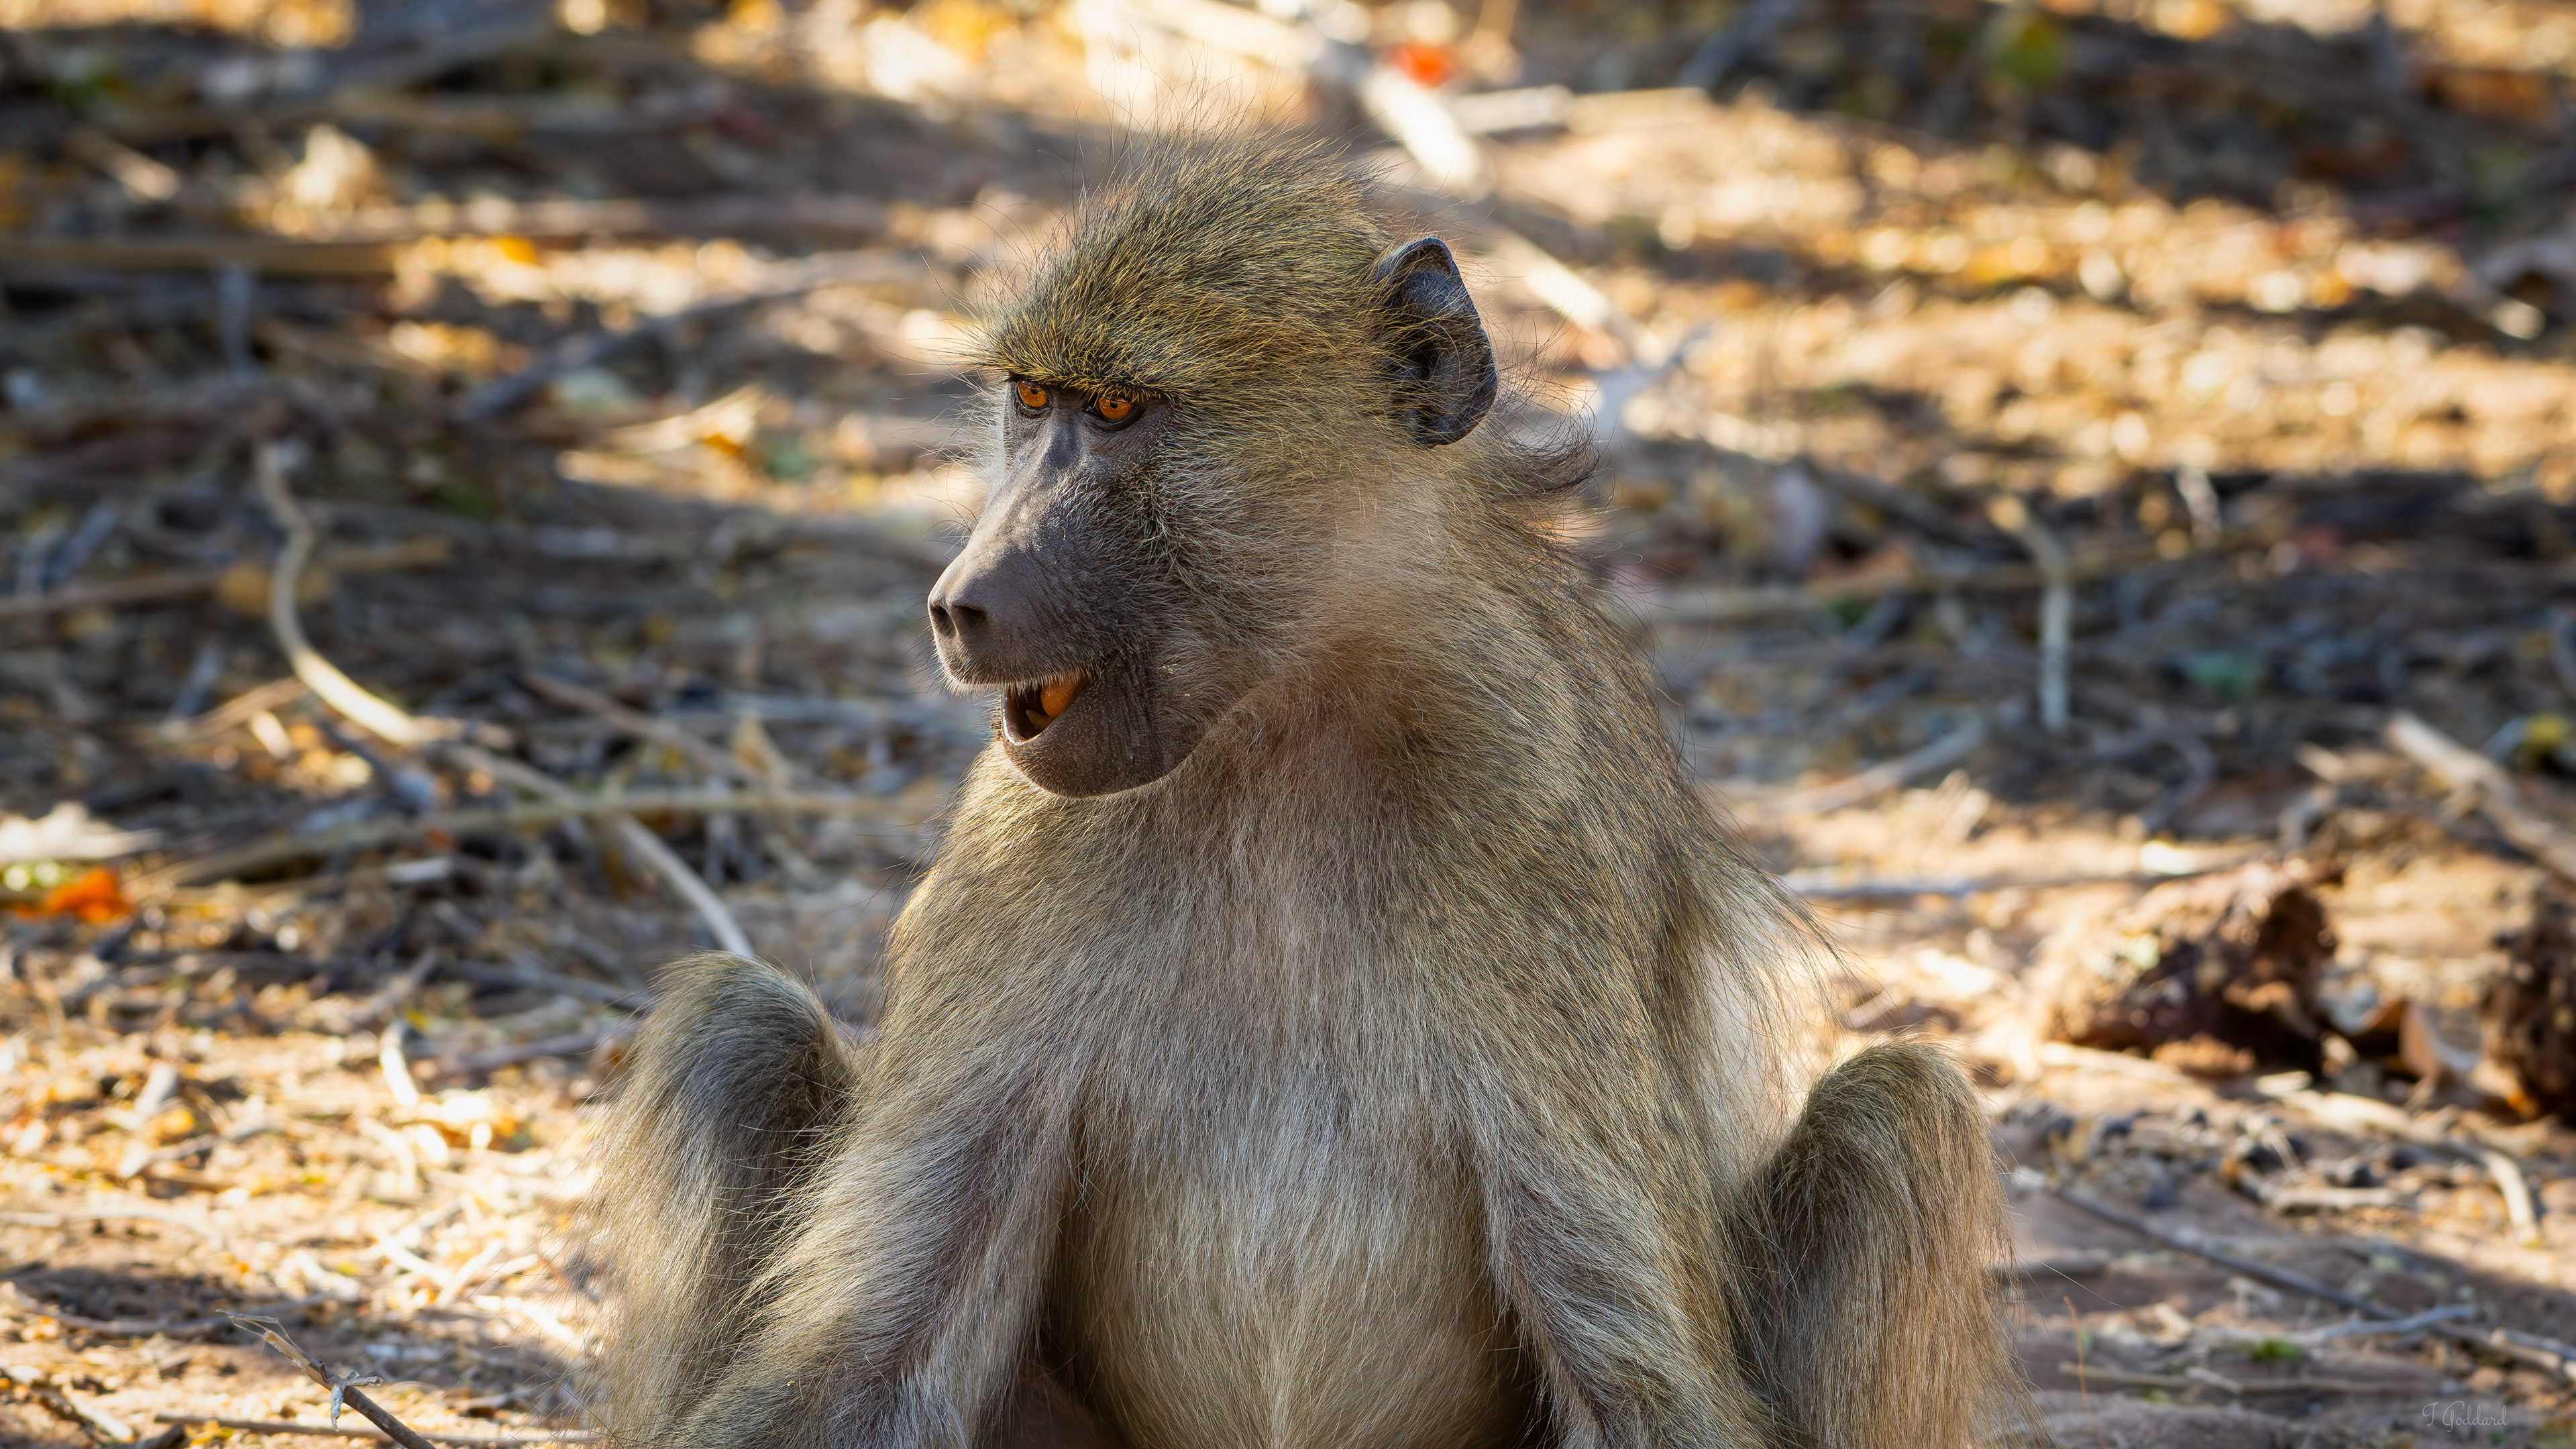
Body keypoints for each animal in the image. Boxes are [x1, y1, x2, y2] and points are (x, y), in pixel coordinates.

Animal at [589, 135, 2023, 1449]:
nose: (960, 604)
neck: (1284, 728)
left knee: (1904, 1116)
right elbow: (866, 1358)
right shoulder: (1022, 842)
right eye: (1032, 399)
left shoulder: (1526, 810)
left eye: (1118, 414)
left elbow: (1638, 1380)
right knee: (732, 1026)